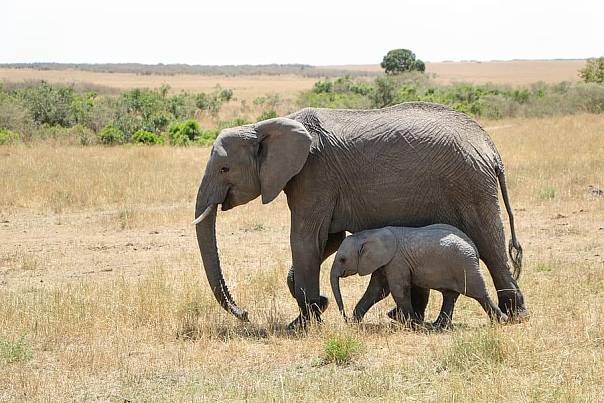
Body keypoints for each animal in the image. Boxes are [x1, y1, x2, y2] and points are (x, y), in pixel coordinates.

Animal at [330, 224, 510, 328]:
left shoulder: (396, 261)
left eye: (342, 259)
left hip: (465, 265)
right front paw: (355, 322)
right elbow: (376, 291)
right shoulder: (385, 262)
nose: (345, 318)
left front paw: (412, 324)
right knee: (450, 295)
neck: (369, 234)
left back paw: (503, 321)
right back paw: (438, 326)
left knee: (479, 293)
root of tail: (474, 248)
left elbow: (398, 290)